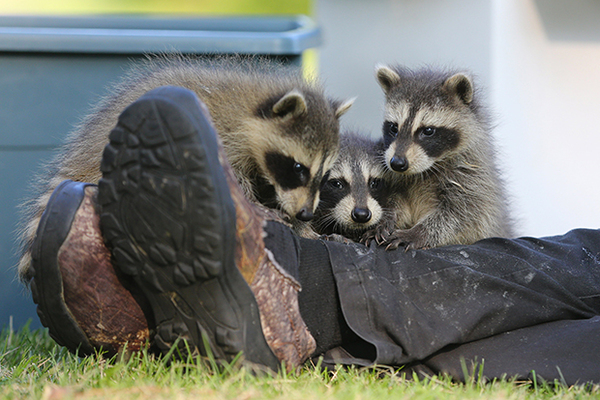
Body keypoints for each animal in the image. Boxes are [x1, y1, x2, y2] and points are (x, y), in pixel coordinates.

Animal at [18, 54, 354, 282]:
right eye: (298, 167)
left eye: (324, 176)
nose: (306, 214)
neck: (249, 111)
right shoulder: (221, 140)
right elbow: (240, 189)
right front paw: (274, 216)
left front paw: (303, 227)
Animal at [370, 63, 516, 248]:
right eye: (394, 128)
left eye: (428, 131)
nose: (397, 163)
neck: (426, 168)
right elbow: (394, 199)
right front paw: (386, 217)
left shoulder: (474, 179)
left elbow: (462, 216)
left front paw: (418, 233)